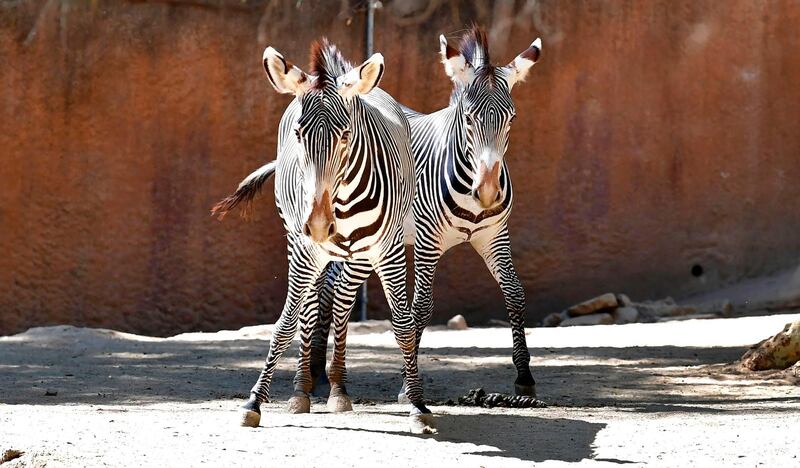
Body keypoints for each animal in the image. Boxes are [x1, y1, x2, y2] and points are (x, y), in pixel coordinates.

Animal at [214, 40, 438, 436]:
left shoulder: (389, 250)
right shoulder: (306, 251)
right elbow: (285, 324)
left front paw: (417, 405)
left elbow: (403, 327)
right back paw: (303, 388)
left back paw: (338, 388)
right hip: (301, 247)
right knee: (310, 307)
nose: (318, 225)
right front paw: (254, 402)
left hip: (357, 258)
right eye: (299, 135)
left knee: (341, 305)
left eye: (346, 135)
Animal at [306, 27, 544, 402]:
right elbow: (421, 306)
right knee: (324, 287)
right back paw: (314, 372)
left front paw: (524, 376)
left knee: (332, 287)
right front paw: (408, 387)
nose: (488, 193)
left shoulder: (494, 236)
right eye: (469, 118)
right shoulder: (427, 240)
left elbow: (514, 292)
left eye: (512, 118)